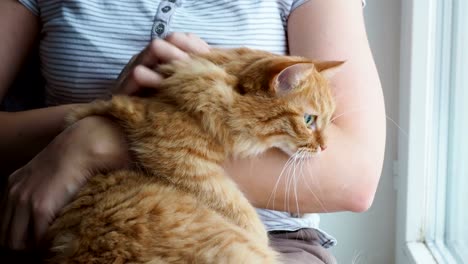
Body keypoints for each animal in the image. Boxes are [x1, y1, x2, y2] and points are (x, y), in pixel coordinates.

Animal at [44, 48, 340, 264]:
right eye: (309, 120)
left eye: (327, 121)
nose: (326, 147)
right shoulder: (173, 151)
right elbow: (235, 205)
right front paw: (258, 235)